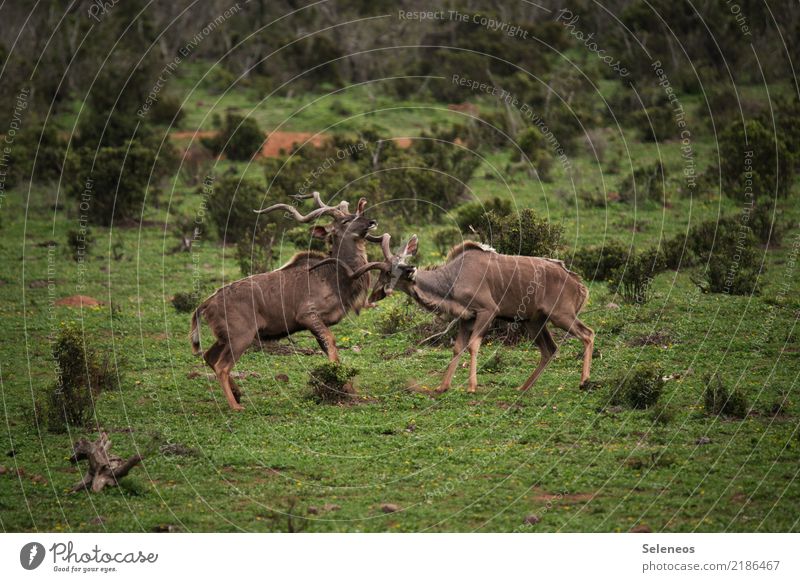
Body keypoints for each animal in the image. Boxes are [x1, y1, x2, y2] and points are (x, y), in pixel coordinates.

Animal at [189, 192, 386, 410]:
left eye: (357, 214)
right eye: (345, 220)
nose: (371, 222)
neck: (333, 275)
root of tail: (206, 304)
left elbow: (327, 347)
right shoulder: (308, 316)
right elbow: (331, 343)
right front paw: (341, 388)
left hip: (225, 338)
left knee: (208, 356)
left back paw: (238, 394)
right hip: (241, 338)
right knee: (221, 366)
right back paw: (236, 406)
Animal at [318, 235, 592, 394]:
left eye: (400, 262)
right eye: (387, 271)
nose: (410, 269)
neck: (452, 278)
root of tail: (579, 284)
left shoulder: (487, 311)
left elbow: (473, 345)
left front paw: (471, 387)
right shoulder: (466, 318)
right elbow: (458, 347)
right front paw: (443, 386)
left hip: (561, 316)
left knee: (587, 334)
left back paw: (583, 381)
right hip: (535, 323)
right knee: (550, 349)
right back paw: (522, 387)